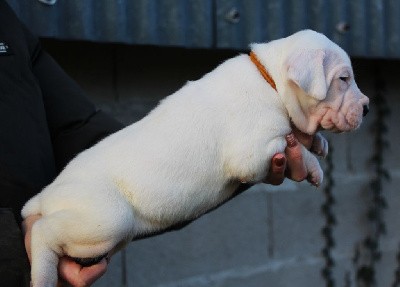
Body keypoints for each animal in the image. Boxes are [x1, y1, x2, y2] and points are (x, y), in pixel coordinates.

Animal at [21, 30, 368, 286]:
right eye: (343, 79)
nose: (366, 108)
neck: (269, 79)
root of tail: (45, 195)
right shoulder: (254, 151)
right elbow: (289, 140)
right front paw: (314, 166)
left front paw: (318, 143)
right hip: (106, 216)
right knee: (42, 232)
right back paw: (43, 278)